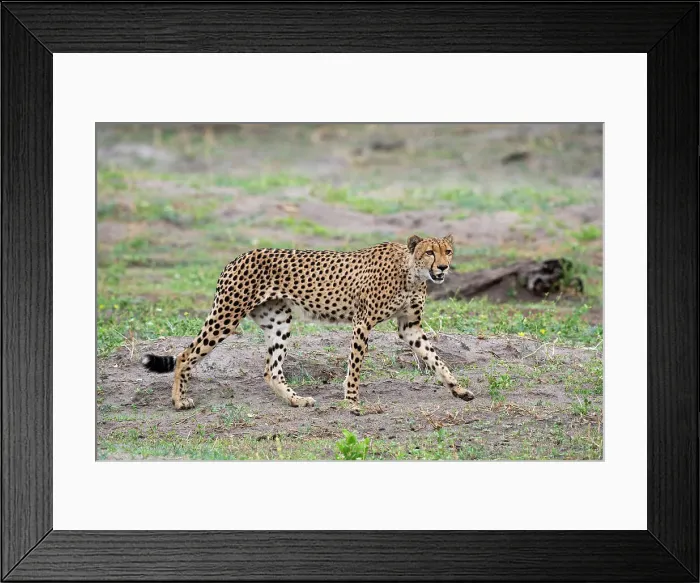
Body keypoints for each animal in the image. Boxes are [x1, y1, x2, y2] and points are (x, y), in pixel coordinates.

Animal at [141, 233, 475, 410]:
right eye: (429, 252)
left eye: (448, 251)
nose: (443, 268)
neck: (411, 273)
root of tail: (238, 257)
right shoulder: (363, 322)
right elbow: (355, 366)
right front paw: (352, 402)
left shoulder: (410, 327)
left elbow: (436, 359)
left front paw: (458, 389)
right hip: (226, 315)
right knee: (185, 354)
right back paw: (179, 401)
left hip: (278, 322)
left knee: (271, 370)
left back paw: (296, 400)